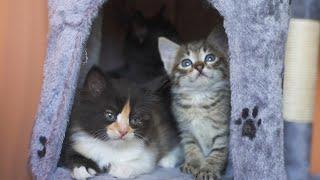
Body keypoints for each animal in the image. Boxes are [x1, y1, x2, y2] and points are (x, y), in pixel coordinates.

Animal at [158, 25, 230, 180]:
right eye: (186, 63)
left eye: (210, 58)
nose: (199, 66)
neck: (199, 98)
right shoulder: (186, 130)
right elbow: (191, 147)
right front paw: (194, 163)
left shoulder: (223, 130)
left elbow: (218, 151)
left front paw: (208, 169)